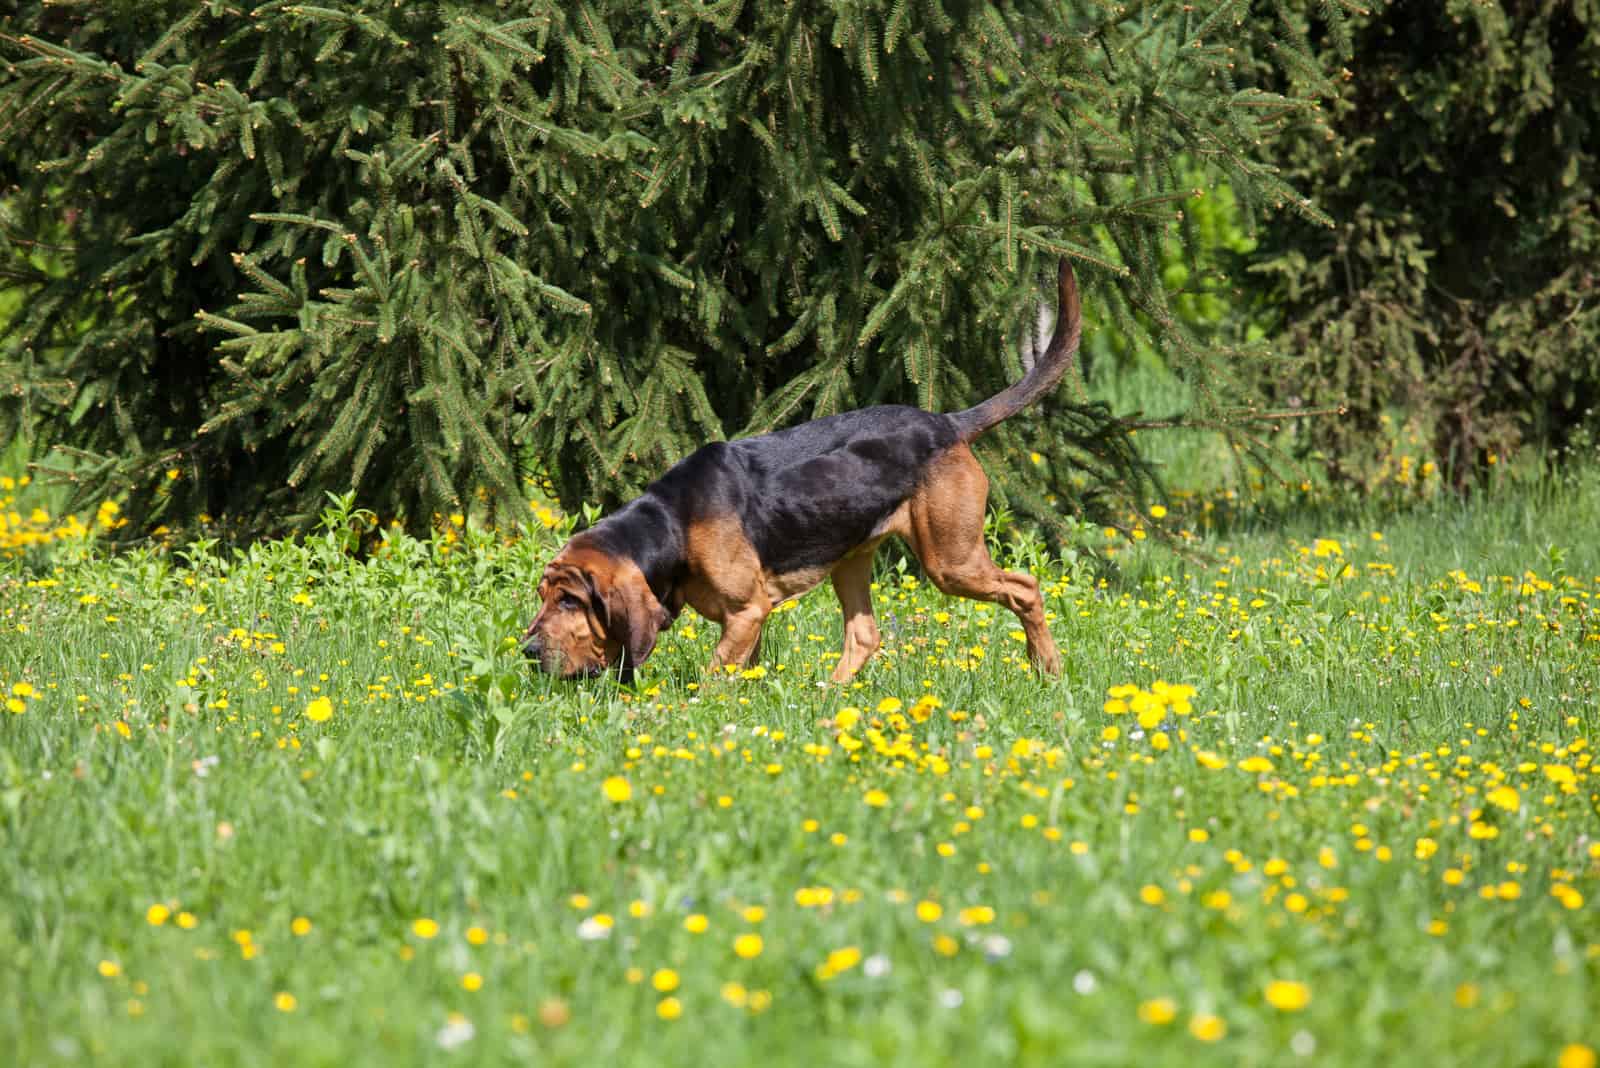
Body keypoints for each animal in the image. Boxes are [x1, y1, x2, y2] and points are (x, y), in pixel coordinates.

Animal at [524, 255, 1088, 684]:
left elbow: (713, 678)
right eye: (545, 596)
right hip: (852, 558)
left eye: (572, 602)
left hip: (951, 560)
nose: (527, 651)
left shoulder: (747, 611)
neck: (672, 524)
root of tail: (947, 423)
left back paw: (1048, 670)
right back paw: (829, 700)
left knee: (1025, 588)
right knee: (864, 636)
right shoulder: (747, 622)